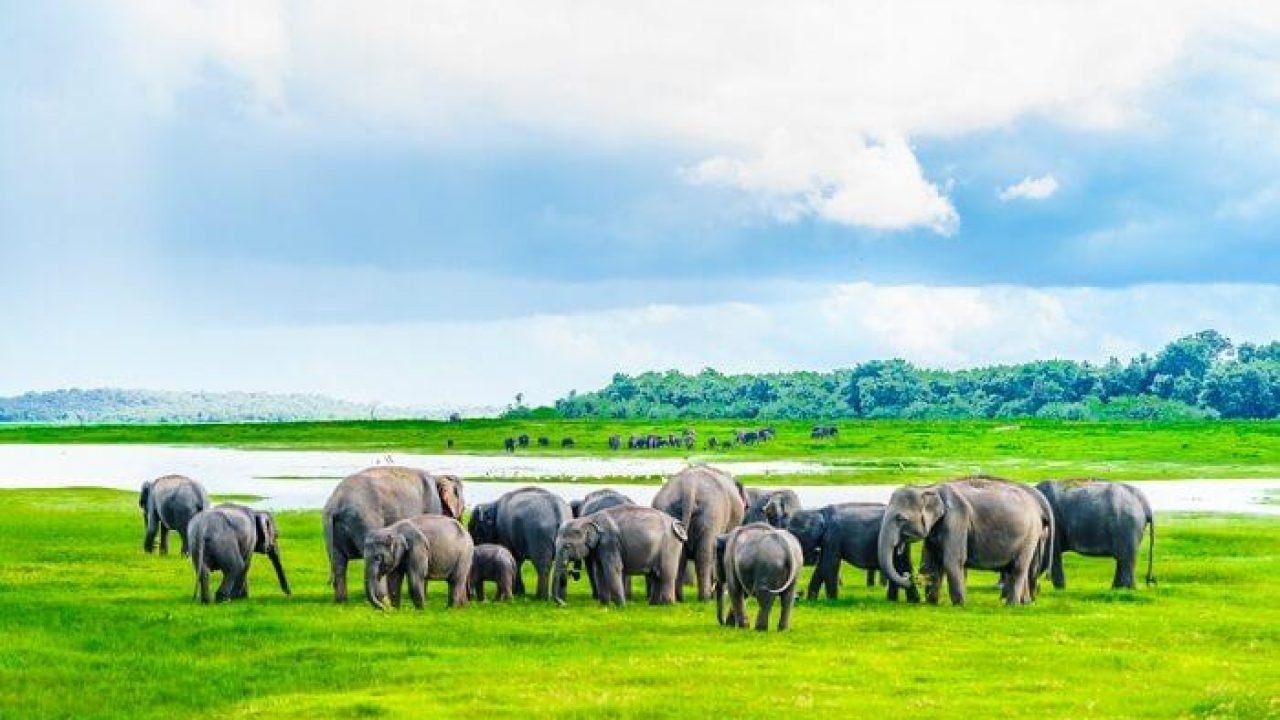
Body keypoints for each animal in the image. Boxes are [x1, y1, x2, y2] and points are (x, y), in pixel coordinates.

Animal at [320, 461, 465, 602]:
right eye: (463, 508)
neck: (437, 477)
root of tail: (336, 504)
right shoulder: (433, 505)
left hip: (331, 530)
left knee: (338, 563)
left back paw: (342, 602)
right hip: (365, 520)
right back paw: (384, 600)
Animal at [550, 504, 691, 604]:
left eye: (567, 546)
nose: (564, 604)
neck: (588, 519)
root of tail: (676, 523)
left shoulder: (609, 542)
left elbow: (613, 569)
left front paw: (621, 606)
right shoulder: (599, 547)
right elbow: (599, 571)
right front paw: (604, 605)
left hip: (669, 545)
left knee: (666, 574)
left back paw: (668, 605)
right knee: (656, 575)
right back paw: (653, 605)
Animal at [650, 461, 747, 597]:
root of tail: (688, 487)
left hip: (668, 508)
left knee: (680, 554)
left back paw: (680, 597)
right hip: (711, 513)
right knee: (704, 554)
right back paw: (705, 597)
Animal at [783, 499, 916, 599]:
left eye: (793, 533)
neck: (818, 511)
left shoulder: (833, 537)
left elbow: (829, 565)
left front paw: (832, 600)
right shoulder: (827, 540)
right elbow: (821, 567)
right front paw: (811, 600)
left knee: (901, 566)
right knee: (902, 565)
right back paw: (896, 600)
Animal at [875, 476, 1054, 604]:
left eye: (900, 519)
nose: (907, 575)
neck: (930, 487)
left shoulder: (957, 519)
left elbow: (952, 561)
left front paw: (960, 604)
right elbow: (930, 564)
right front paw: (932, 603)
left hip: (1030, 535)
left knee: (1018, 567)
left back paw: (1012, 605)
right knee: (1016, 568)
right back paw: (1024, 603)